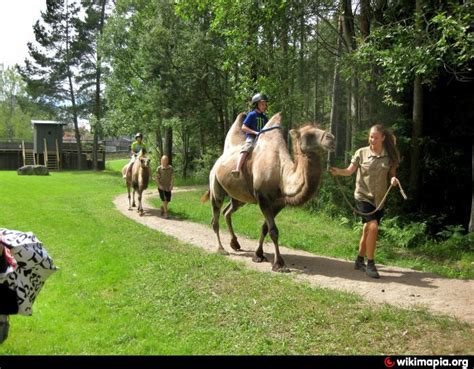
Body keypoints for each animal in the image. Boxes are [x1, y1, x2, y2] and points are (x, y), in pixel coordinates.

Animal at [202, 111, 336, 270]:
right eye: (309, 134)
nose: (331, 138)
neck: (281, 175)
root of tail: (218, 162)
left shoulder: (279, 203)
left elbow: (265, 228)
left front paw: (258, 254)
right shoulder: (263, 198)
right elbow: (273, 231)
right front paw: (279, 264)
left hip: (239, 197)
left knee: (227, 211)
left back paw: (235, 244)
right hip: (215, 185)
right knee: (215, 216)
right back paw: (221, 249)